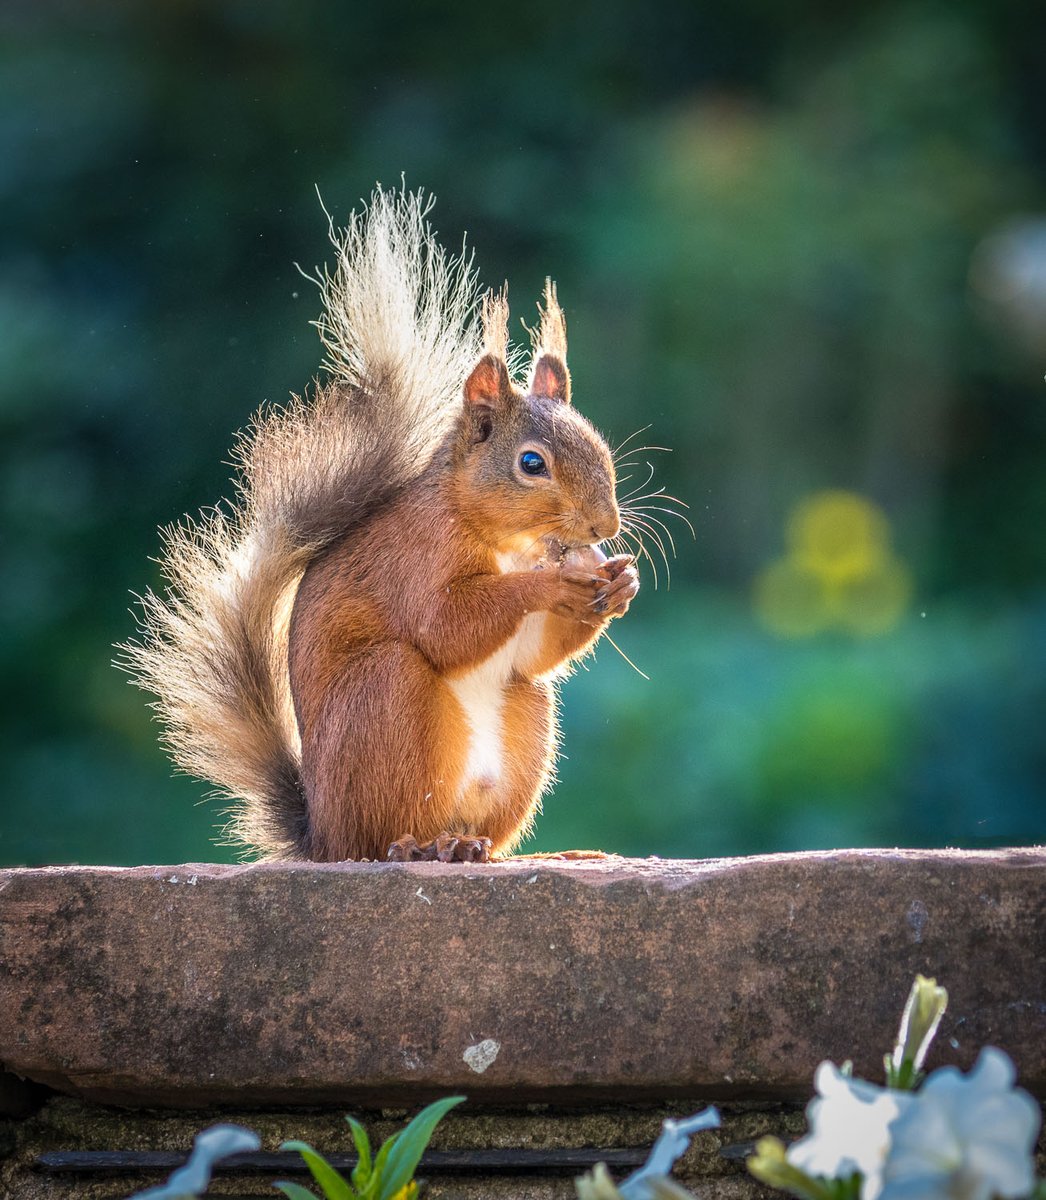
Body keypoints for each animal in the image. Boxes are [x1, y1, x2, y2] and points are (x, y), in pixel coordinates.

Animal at [122, 186, 639, 864]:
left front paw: (620, 586)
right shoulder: (415, 558)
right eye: (532, 464)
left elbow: (536, 651)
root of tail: (322, 835)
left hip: (526, 718)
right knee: (379, 834)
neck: (505, 542)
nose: (605, 524)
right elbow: (446, 625)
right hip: (387, 698)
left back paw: (509, 852)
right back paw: (418, 848)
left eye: (599, 445)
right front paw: (550, 586)